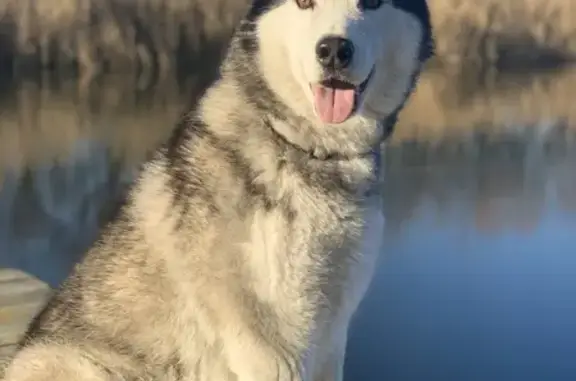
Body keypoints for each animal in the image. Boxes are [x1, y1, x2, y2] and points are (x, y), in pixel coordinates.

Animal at [1, 1, 432, 378]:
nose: (334, 50)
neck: (309, 148)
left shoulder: (332, 332)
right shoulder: (275, 346)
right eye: (304, 2)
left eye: (371, 2)